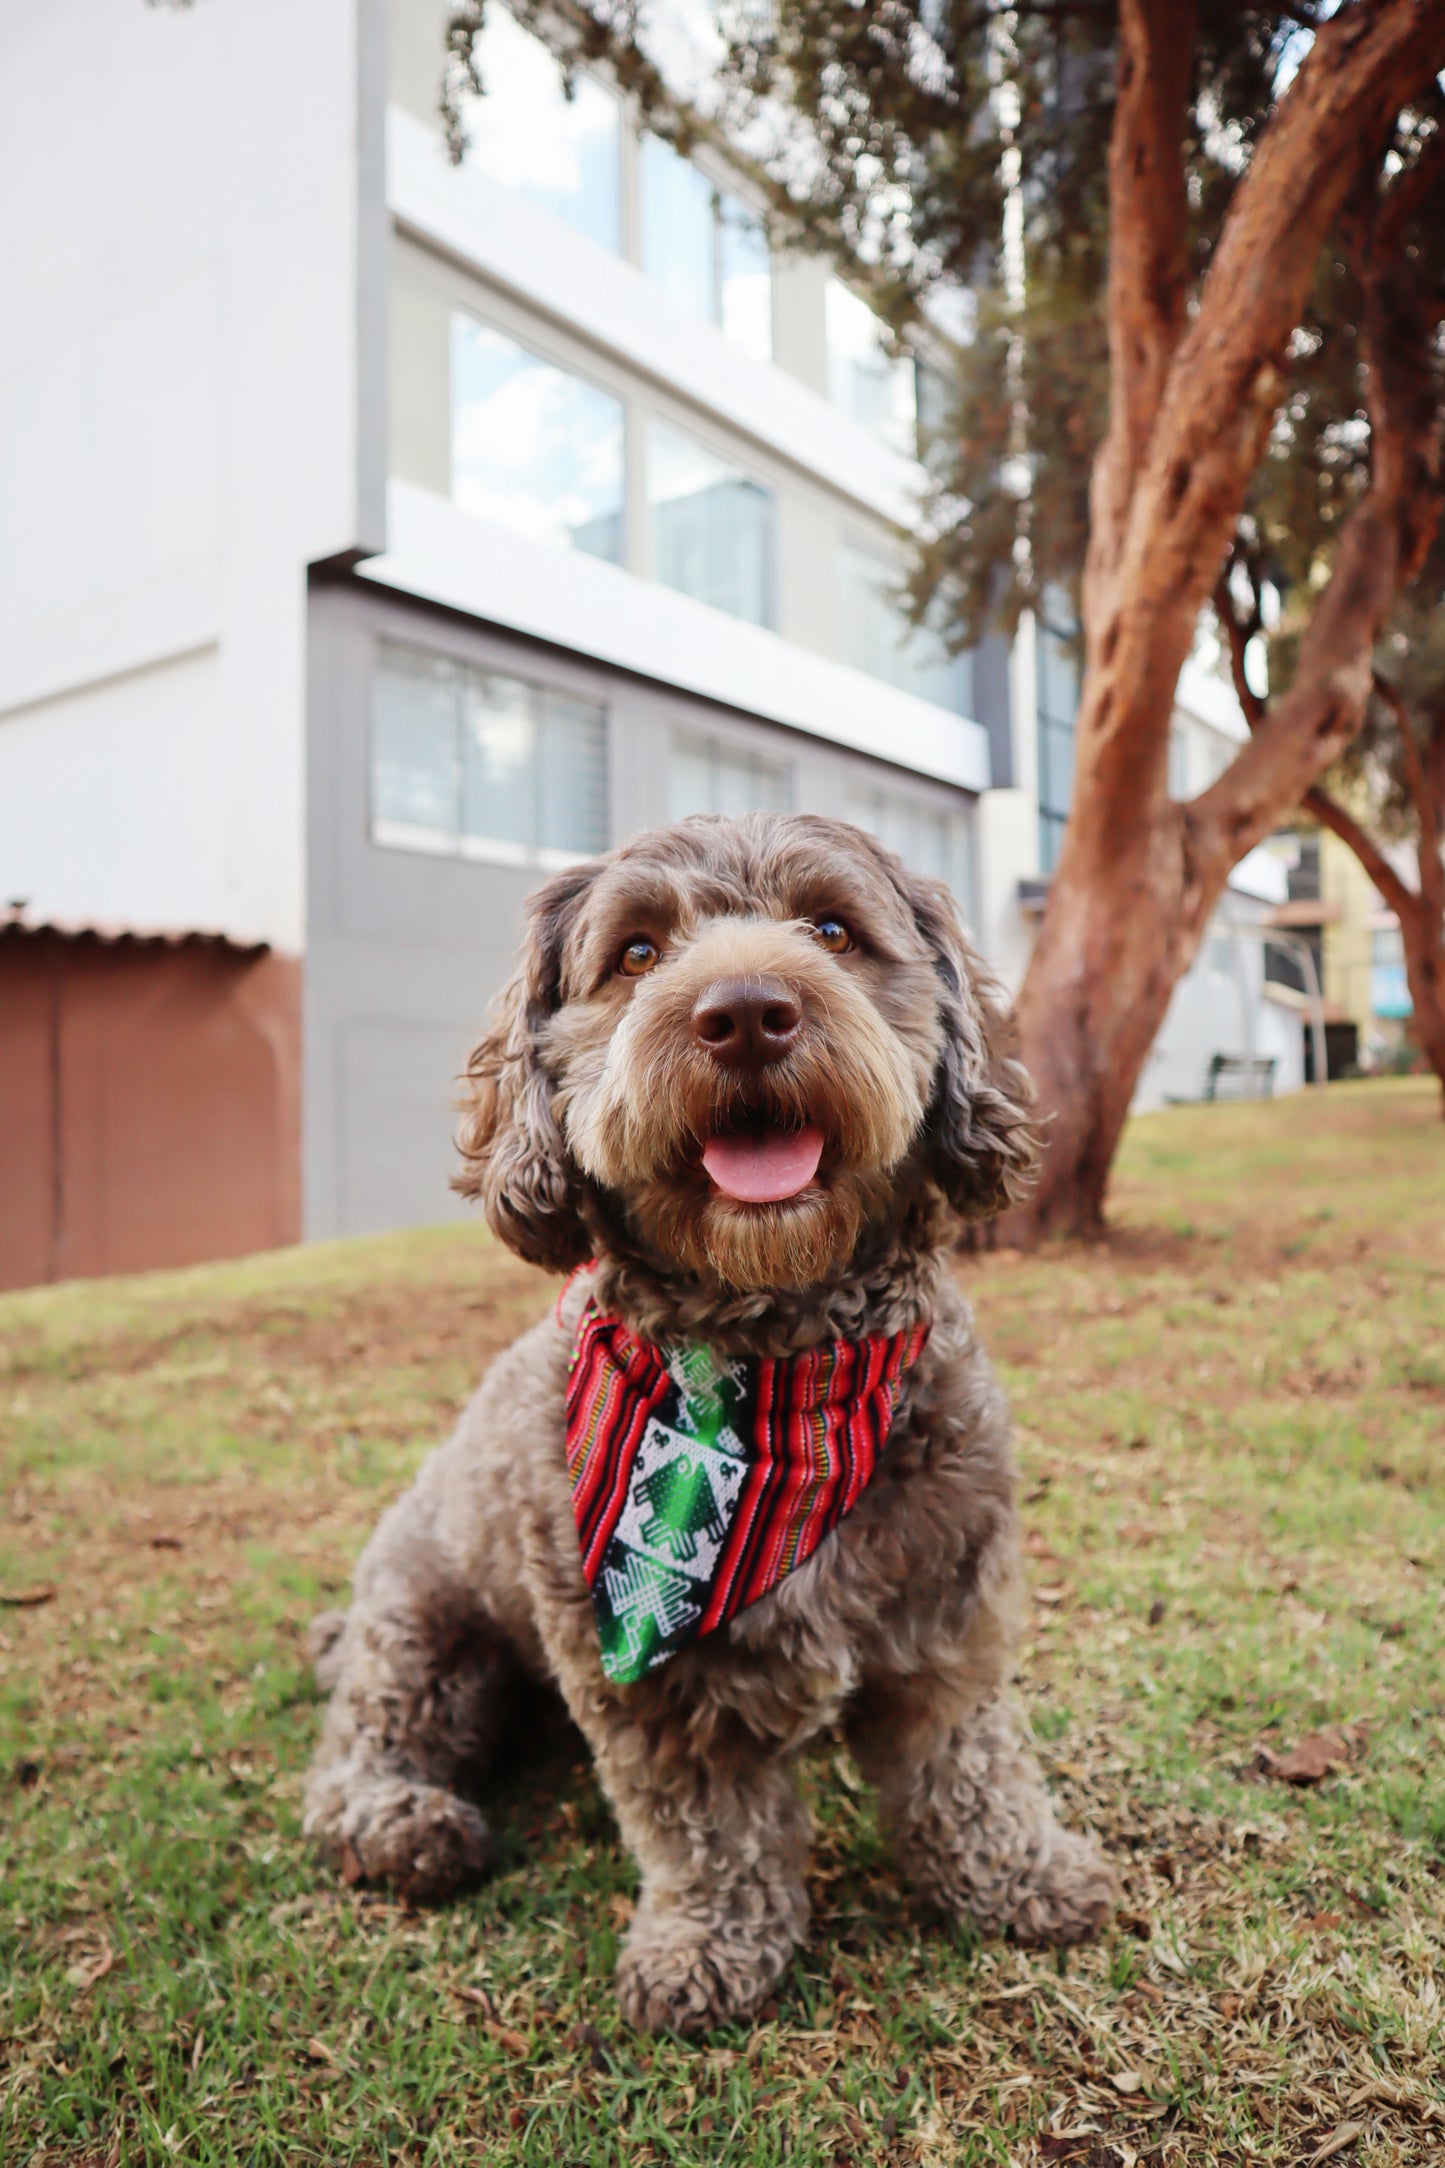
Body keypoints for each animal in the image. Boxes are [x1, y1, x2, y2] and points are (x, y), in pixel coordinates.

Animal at [305, 810, 1117, 2029]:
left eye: (831, 929)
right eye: (636, 953)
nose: (742, 1013)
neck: (782, 1375)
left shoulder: (947, 1609)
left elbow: (963, 1764)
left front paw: (1018, 1874)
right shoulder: (647, 1678)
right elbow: (706, 1828)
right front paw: (706, 1947)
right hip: (425, 1629)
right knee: (356, 1752)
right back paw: (401, 1823)